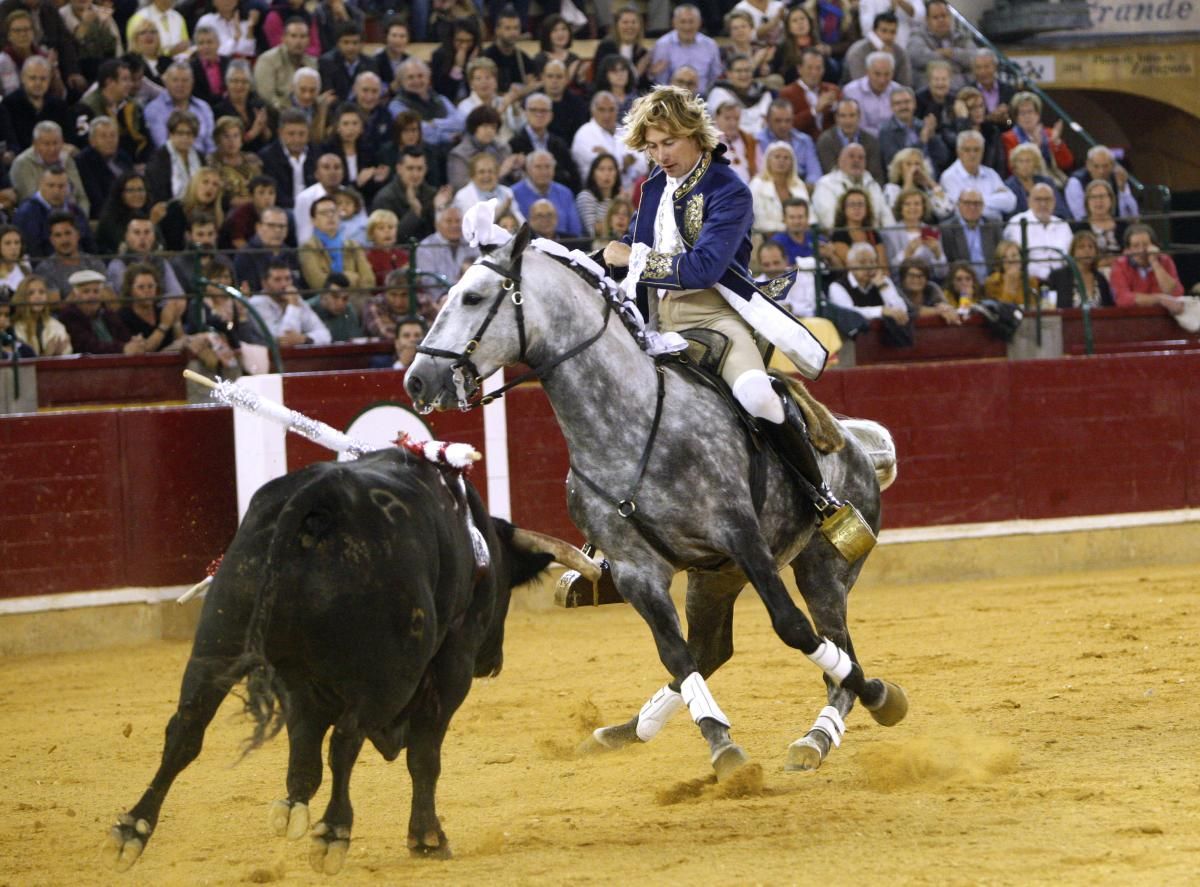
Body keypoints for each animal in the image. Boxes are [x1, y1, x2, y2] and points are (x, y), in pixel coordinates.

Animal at [100, 451, 564, 873]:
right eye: (506, 589)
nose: (493, 660)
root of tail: (320, 497)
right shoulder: (450, 671)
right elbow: (423, 755)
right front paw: (428, 839)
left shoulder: (298, 683)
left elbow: (304, 748)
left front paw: (292, 808)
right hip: (387, 675)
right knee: (346, 740)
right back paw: (335, 832)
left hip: (218, 640)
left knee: (185, 729)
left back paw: (131, 829)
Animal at [408, 226, 902, 777]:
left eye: (472, 297)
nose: (417, 379)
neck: (629, 422)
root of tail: (856, 442)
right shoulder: (635, 570)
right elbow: (676, 655)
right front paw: (721, 745)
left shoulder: (743, 538)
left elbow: (792, 627)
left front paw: (883, 695)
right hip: (714, 577)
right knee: (711, 648)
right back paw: (625, 730)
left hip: (823, 566)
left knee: (835, 645)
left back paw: (818, 736)